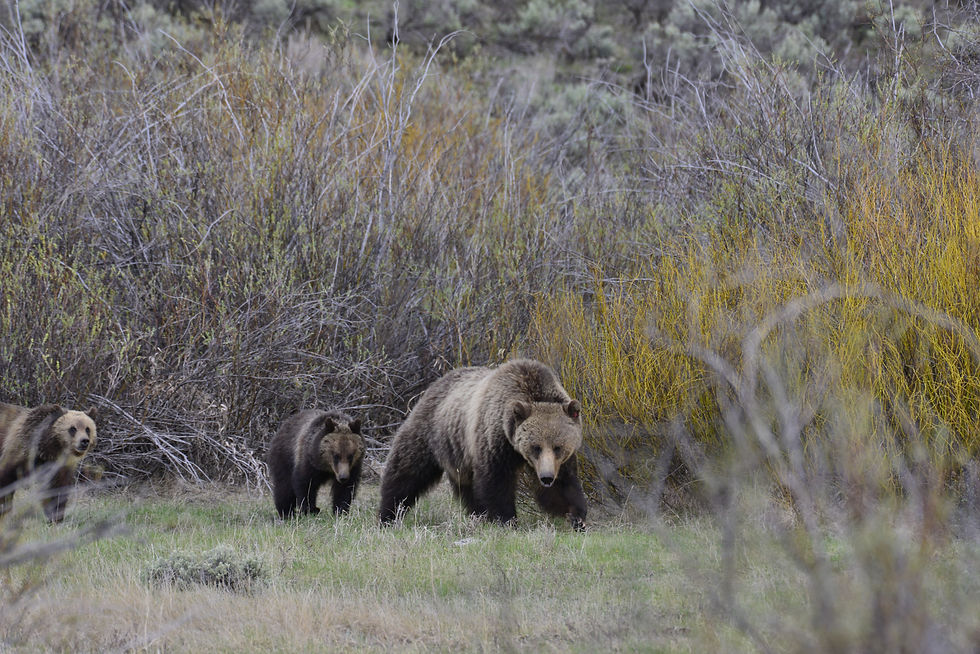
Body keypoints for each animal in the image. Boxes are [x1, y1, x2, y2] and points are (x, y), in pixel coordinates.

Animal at [378, 358, 587, 529]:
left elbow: (564, 484)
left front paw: (577, 516)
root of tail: (436, 383)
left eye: (558, 447)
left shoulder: (558, 461)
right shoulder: (494, 440)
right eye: (535, 447)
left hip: (459, 454)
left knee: (467, 486)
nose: (546, 477)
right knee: (406, 472)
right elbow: (495, 481)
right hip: (431, 433)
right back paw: (388, 515)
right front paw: (507, 519)